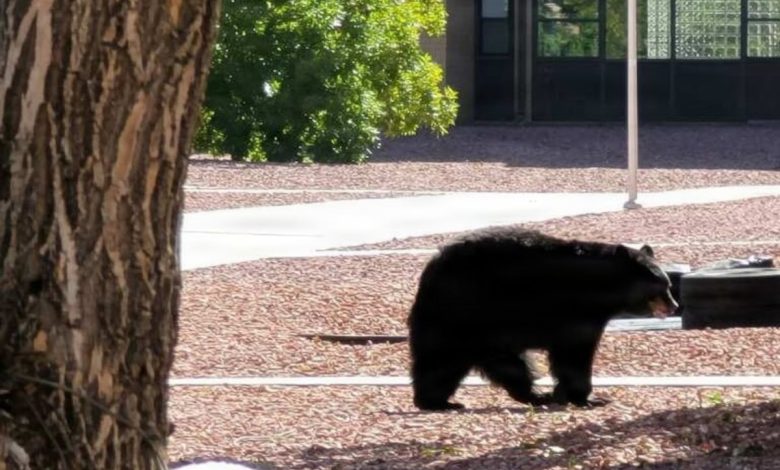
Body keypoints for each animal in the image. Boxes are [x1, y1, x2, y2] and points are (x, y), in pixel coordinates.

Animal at [407, 227, 678, 411]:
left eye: (669, 285)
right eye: (659, 288)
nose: (674, 306)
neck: (600, 287)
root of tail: (430, 271)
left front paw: (565, 394)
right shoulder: (576, 313)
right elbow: (575, 354)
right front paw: (588, 397)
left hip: (486, 332)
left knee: (509, 366)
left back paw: (535, 396)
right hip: (461, 315)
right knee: (442, 359)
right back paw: (436, 402)